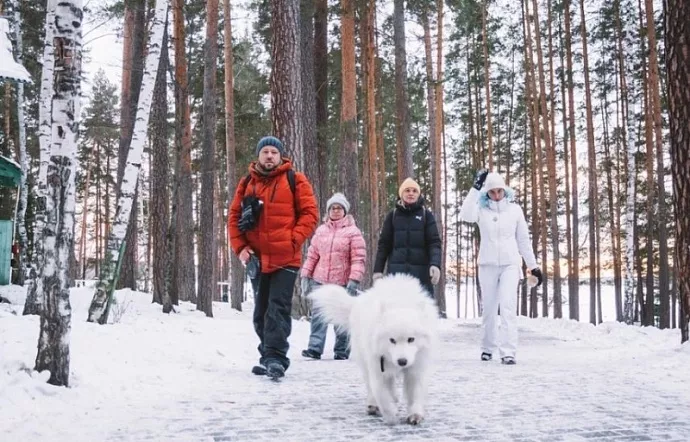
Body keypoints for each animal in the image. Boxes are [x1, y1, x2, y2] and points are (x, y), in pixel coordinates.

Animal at [310, 272, 438, 424]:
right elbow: (380, 393)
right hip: (364, 361)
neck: (399, 302)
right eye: (392, 340)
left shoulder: (417, 367)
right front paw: (390, 414)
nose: (402, 361)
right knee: (371, 386)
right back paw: (373, 404)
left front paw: (415, 414)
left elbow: (415, 393)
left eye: (411, 339)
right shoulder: (377, 366)